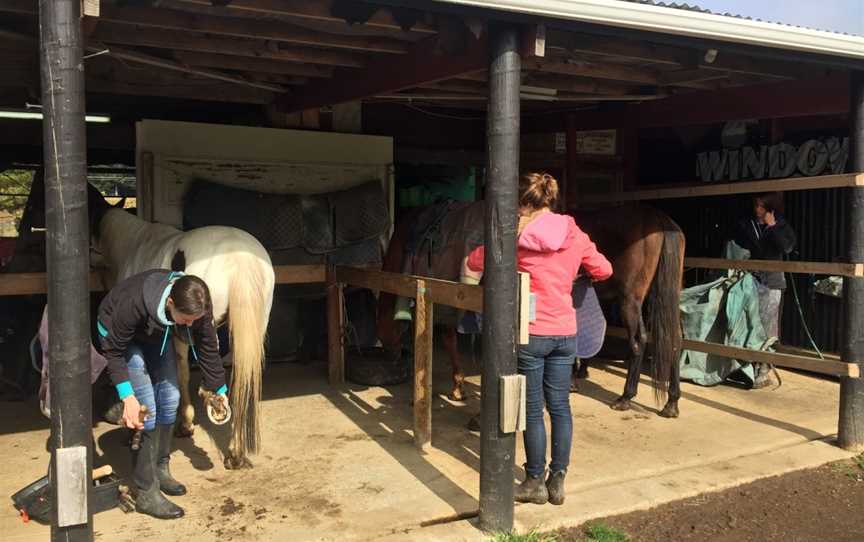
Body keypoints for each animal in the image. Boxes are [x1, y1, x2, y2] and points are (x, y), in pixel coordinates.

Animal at [374, 202, 684, 418]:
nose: (390, 354)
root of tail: (661, 220)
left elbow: (449, 340)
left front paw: (458, 387)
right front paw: (576, 376)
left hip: (630, 300)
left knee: (639, 342)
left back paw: (626, 397)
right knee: (675, 341)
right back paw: (671, 402)